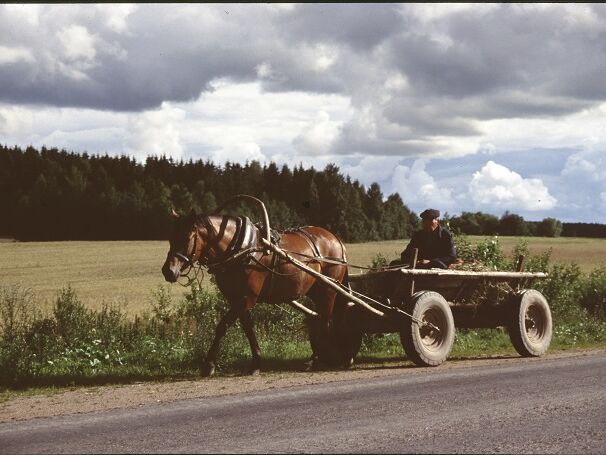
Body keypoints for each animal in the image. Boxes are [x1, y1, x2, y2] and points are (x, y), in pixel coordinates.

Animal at [162, 205, 350, 376]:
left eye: (187, 238)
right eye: (170, 238)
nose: (168, 271)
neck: (241, 248)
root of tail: (335, 240)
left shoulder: (246, 298)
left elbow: (222, 326)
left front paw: (208, 365)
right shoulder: (236, 298)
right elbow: (248, 329)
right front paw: (256, 363)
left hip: (328, 289)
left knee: (325, 321)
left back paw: (317, 359)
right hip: (316, 291)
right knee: (321, 319)